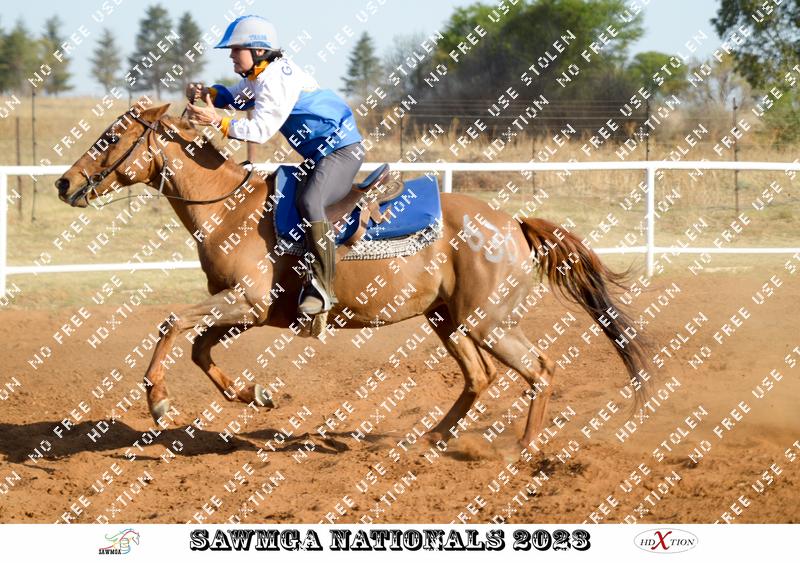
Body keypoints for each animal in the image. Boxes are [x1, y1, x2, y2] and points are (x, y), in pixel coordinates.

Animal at [55, 102, 649, 450]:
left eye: (110, 138)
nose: (64, 183)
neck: (230, 211)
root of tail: (514, 223)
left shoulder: (246, 302)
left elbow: (173, 324)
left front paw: (158, 402)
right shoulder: (253, 310)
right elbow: (201, 348)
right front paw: (255, 394)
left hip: (488, 321)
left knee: (540, 370)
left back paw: (523, 451)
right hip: (448, 320)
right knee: (478, 378)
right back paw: (429, 440)